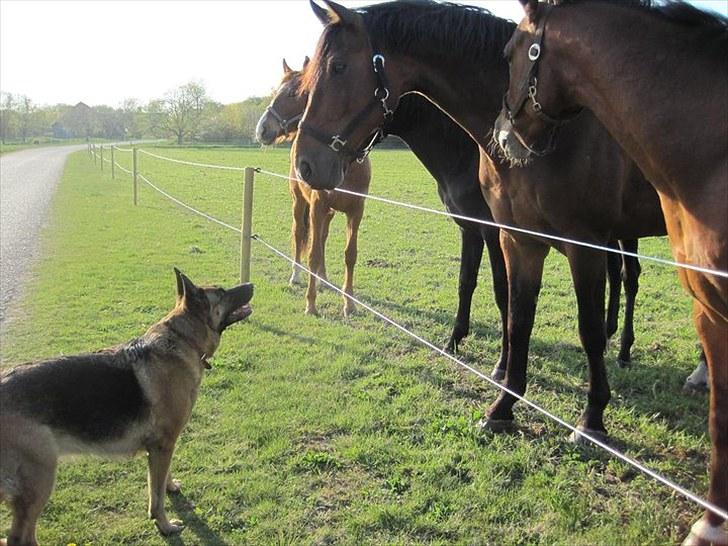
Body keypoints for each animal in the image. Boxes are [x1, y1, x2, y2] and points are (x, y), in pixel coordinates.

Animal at [0, 268, 253, 544]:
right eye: (222, 292)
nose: (251, 284)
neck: (183, 339)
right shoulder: (163, 445)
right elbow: (156, 498)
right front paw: (164, 525)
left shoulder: (162, 448)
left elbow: (161, 480)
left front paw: (170, 486)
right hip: (40, 480)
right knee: (19, 537)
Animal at [256, 57, 370, 316]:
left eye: (294, 93)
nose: (262, 129)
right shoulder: (316, 207)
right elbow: (312, 253)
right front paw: (310, 303)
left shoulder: (356, 211)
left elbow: (350, 254)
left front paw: (349, 303)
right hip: (300, 203)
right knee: (300, 235)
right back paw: (296, 276)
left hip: (328, 213)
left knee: (322, 239)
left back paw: (323, 279)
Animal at [292, 0, 676, 472]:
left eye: (339, 67)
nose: (305, 164)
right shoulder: (513, 238)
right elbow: (511, 310)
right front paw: (502, 404)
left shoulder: (575, 243)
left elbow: (575, 325)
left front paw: (591, 419)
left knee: (629, 280)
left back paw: (623, 349)